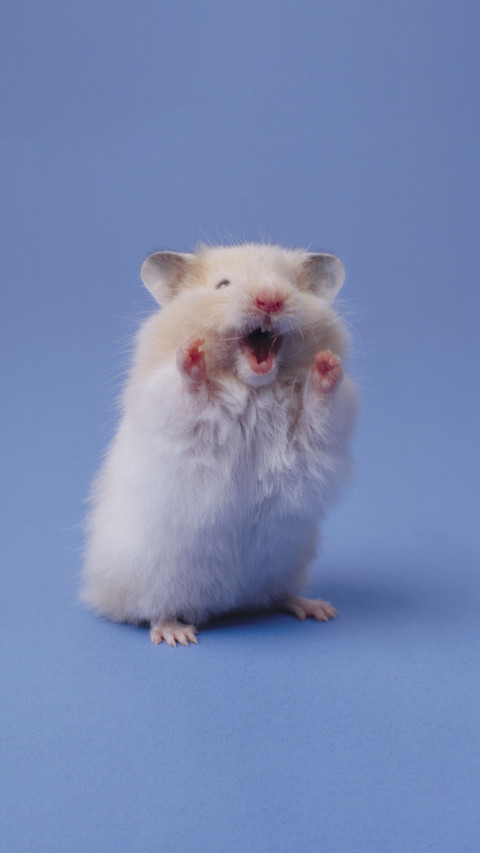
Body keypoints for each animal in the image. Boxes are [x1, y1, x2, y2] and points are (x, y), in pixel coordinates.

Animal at [81, 243, 358, 646]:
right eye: (223, 285)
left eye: (290, 285)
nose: (270, 299)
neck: (255, 385)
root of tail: (229, 601)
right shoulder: (166, 405)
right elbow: (186, 395)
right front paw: (192, 353)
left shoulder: (318, 430)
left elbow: (321, 411)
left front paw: (325, 364)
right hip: (152, 577)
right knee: (155, 611)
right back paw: (177, 634)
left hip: (286, 563)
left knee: (277, 595)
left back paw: (318, 608)